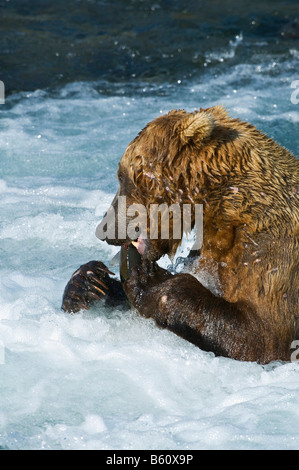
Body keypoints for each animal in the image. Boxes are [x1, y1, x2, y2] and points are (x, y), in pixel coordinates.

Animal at [61, 105, 299, 364]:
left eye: (122, 176)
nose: (103, 229)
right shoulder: (208, 251)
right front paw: (88, 281)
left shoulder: (269, 251)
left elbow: (263, 335)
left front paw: (149, 278)